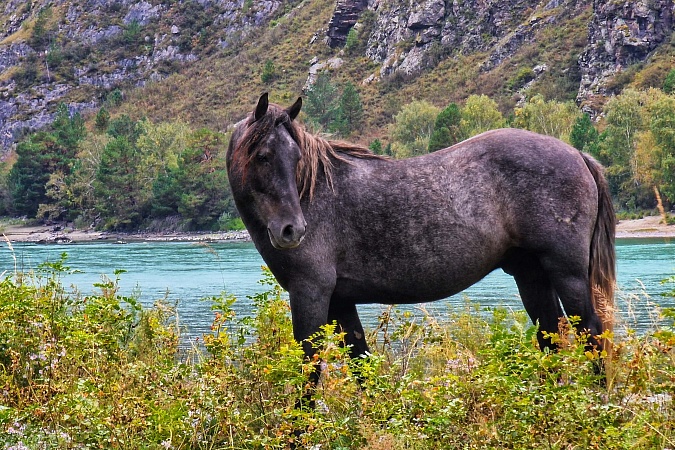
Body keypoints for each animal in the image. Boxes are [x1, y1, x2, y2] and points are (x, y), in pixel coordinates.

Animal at [227, 92, 616, 386]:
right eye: (263, 156)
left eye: (295, 157)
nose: (292, 230)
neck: (316, 192)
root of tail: (578, 155)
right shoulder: (340, 300)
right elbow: (361, 364)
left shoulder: (311, 292)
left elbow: (309, 367)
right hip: (531, 275)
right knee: (551, 337)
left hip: (566, 273)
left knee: (591, 333)